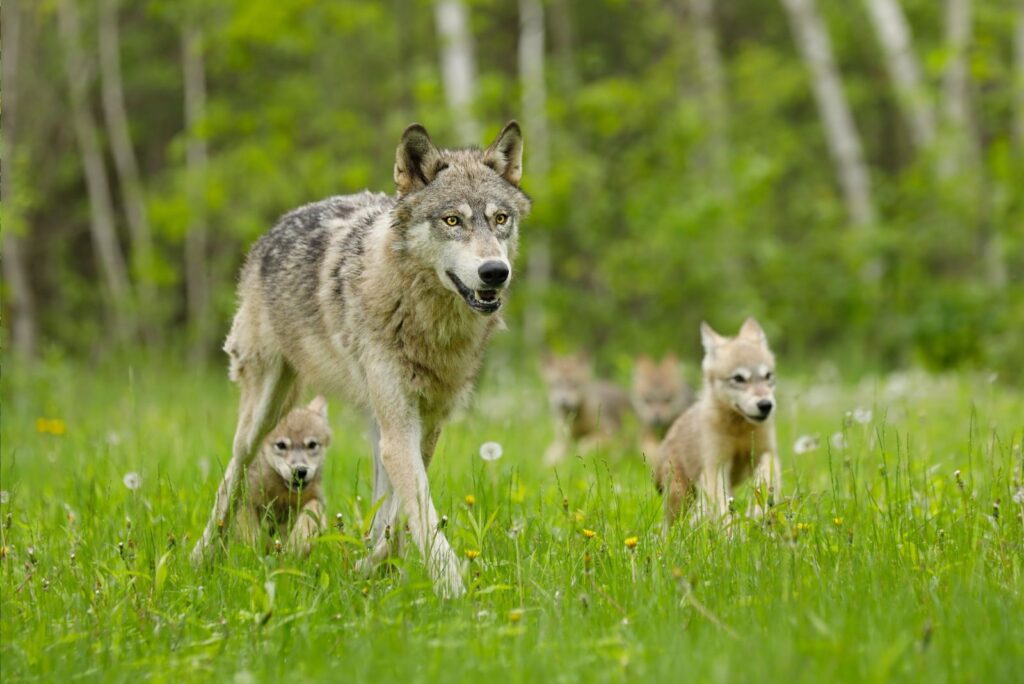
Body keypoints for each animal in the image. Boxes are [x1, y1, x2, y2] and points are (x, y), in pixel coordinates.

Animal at [234, 395, 327, 557]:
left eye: (312, 445)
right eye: (281, 445)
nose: (300, 471)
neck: (283, 494)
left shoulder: (316, 499)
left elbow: (311, 511)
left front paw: (297, 544)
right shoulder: (246, 500)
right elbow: (251, 531)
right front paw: (256, 551)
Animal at [659, 321, 778, 528]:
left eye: (767, 376)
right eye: (738, 378)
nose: (765, 405)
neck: (739, 428)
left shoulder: (767, 453)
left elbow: (765, 479)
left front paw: (757, 512)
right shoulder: (716, 466)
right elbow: (723, 511)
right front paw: (731, 533)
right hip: (680, 496)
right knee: (670, 525)